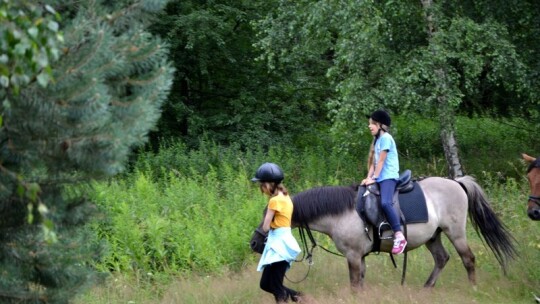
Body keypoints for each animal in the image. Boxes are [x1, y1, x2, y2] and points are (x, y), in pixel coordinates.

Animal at [251, 175, 516, 288]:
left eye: (269, 215)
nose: (254, 243)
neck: (341, 212)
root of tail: (457, 182)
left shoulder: (353, 256)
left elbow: (354, 283)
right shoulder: (360, 256)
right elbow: (360, 282)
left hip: (456, 232)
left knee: (468, 259)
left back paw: (472, 289)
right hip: (433, 236)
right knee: (442, 258)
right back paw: (426, 288)